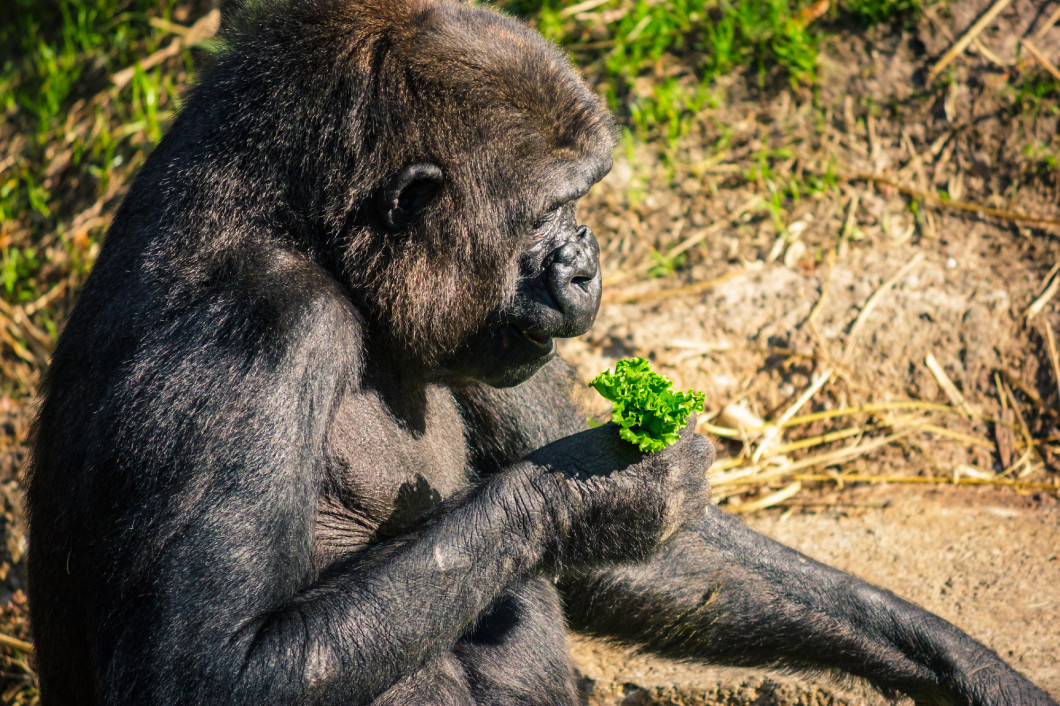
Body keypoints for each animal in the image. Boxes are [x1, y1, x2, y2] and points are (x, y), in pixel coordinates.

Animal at [20, 1, 1055, 703]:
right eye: (550, 209)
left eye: (579, 201)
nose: (587, 259)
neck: (310, 224)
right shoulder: (256, 332)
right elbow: (213, 670)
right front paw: (592, 493)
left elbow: (662, 562)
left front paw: (962, 664)